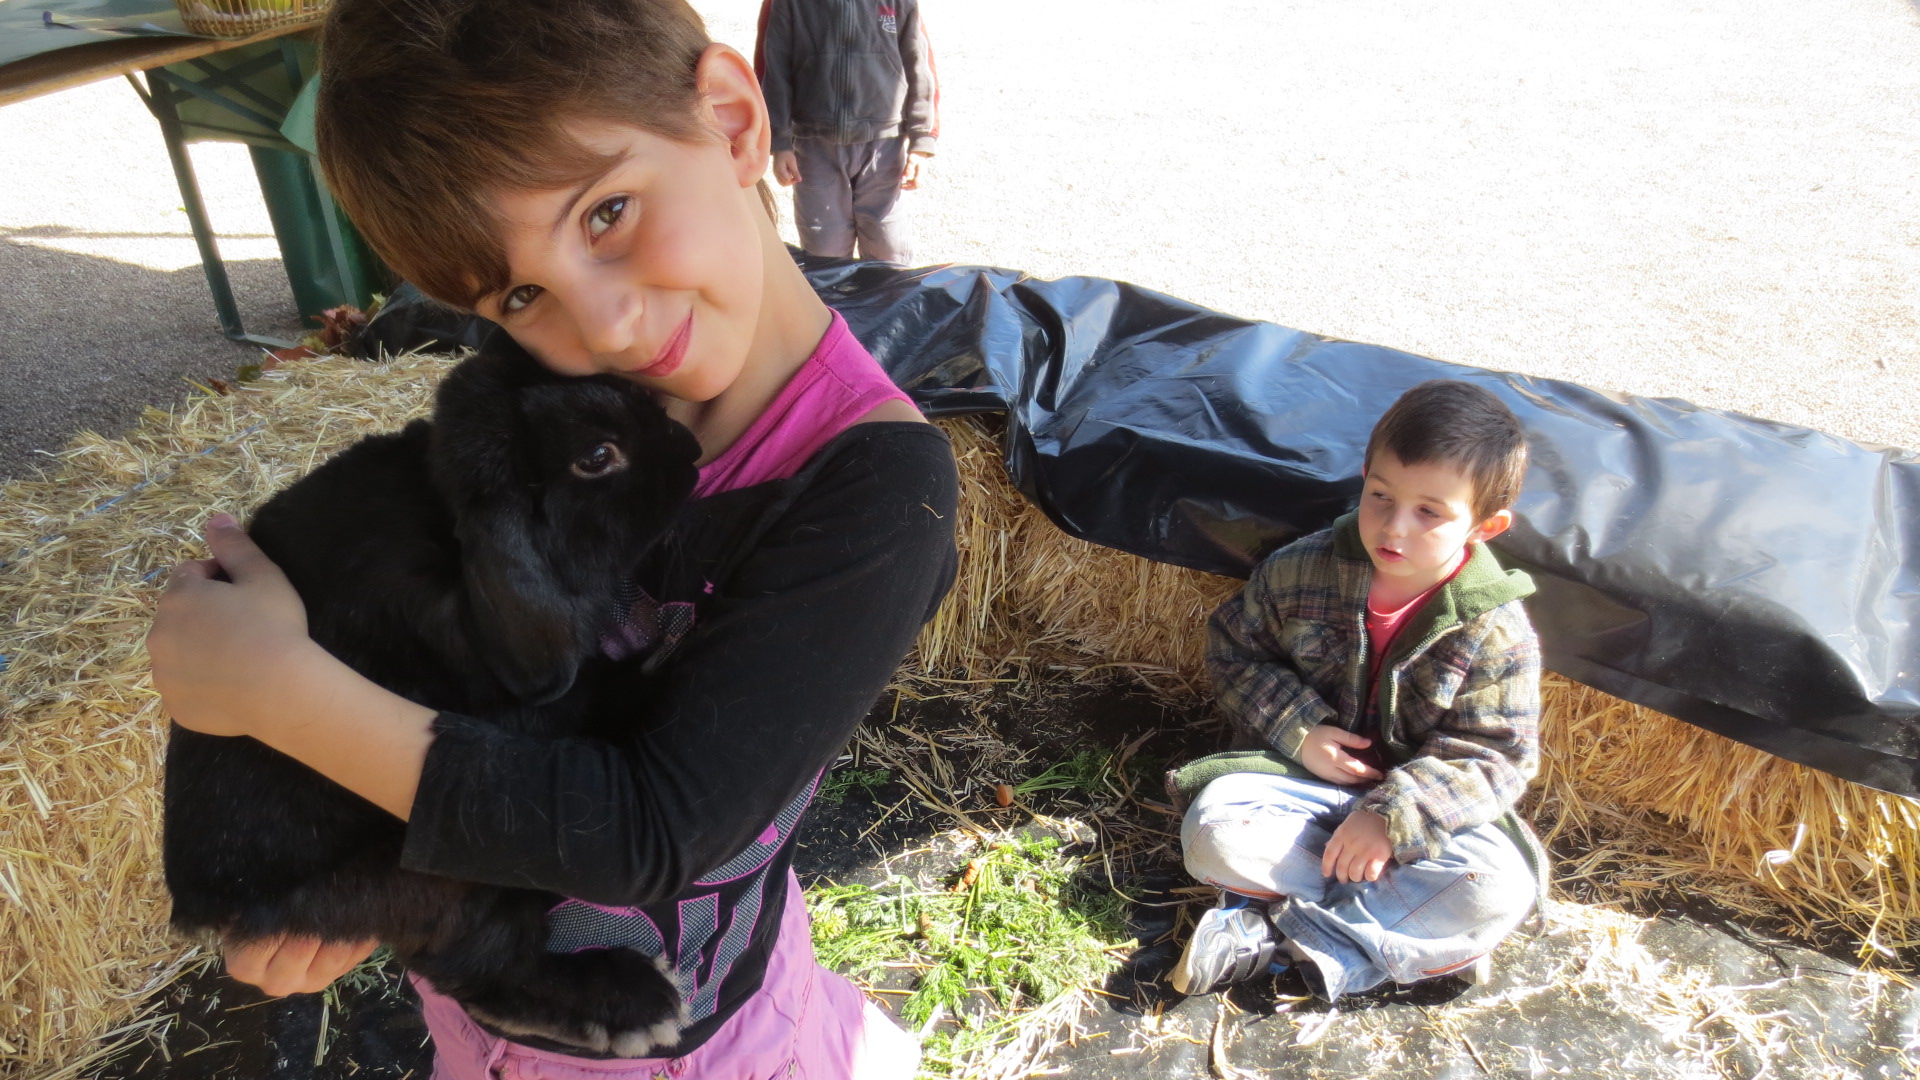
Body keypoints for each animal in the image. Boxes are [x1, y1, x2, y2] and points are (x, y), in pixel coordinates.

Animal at [165, 332, 702, 1053]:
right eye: (595, 457)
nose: (691, 450)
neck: (445, 524)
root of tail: (206, 907)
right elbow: (585, 698)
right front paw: (663, 660)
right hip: (453, 873)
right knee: (483, 970)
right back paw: (633, 1005)